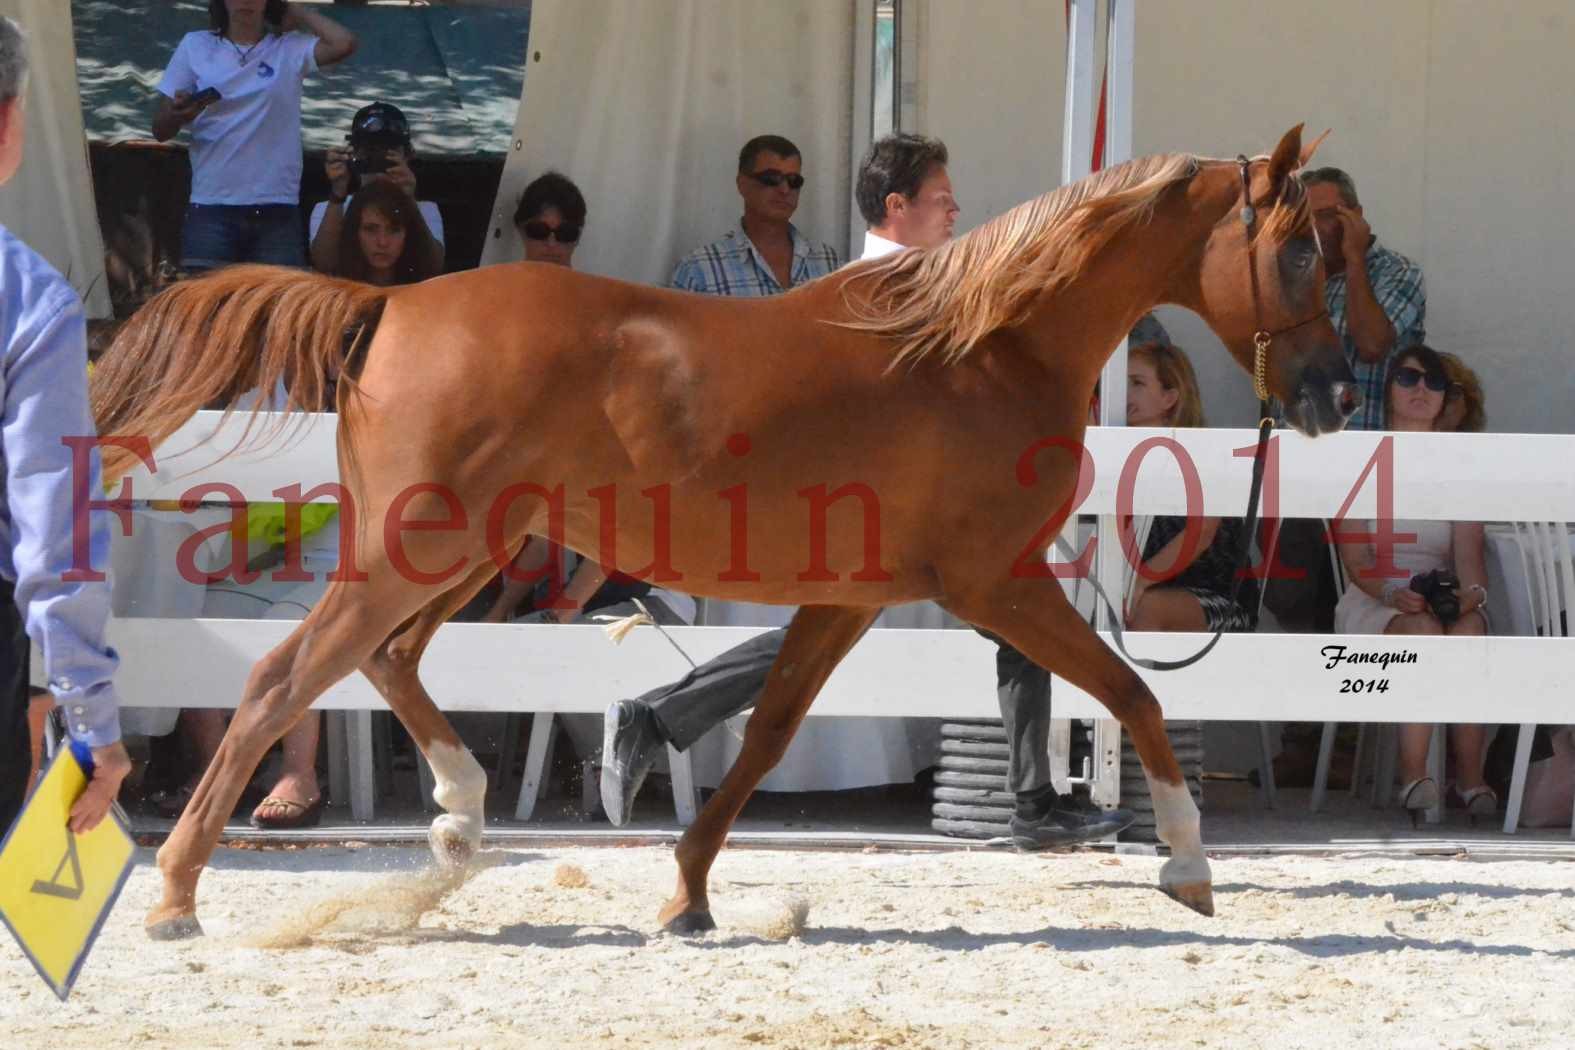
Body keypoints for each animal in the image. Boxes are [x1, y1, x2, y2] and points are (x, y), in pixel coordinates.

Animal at [95, 125, 1354, 944]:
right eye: (1301, 251)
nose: (1337, 394)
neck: (982, 347)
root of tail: (390, 303)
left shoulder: (848, 599)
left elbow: (763, 738)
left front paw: (687, 896)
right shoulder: (996, 583)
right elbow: (1134, 692)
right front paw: (1188, 862)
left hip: (466, 551)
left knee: (385, 662)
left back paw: (457, 819)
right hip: (419, 550)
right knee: (281, 678)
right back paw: (177, 896)